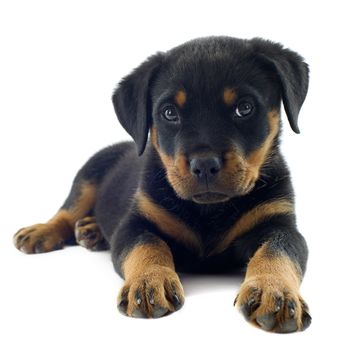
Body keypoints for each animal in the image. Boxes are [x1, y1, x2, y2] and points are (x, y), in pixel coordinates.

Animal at [12, 36, 310, 334]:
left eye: (244, 108)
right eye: (169, 113)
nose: (204, 165)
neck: (209, 210)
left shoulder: (279, 224)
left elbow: (277, 252)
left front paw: (275, 292)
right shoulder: (136, 223)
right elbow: (148, 245)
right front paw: (148, 282)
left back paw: (91, 230)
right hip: (89, 173)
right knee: (68, 209)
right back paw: (42, 231)